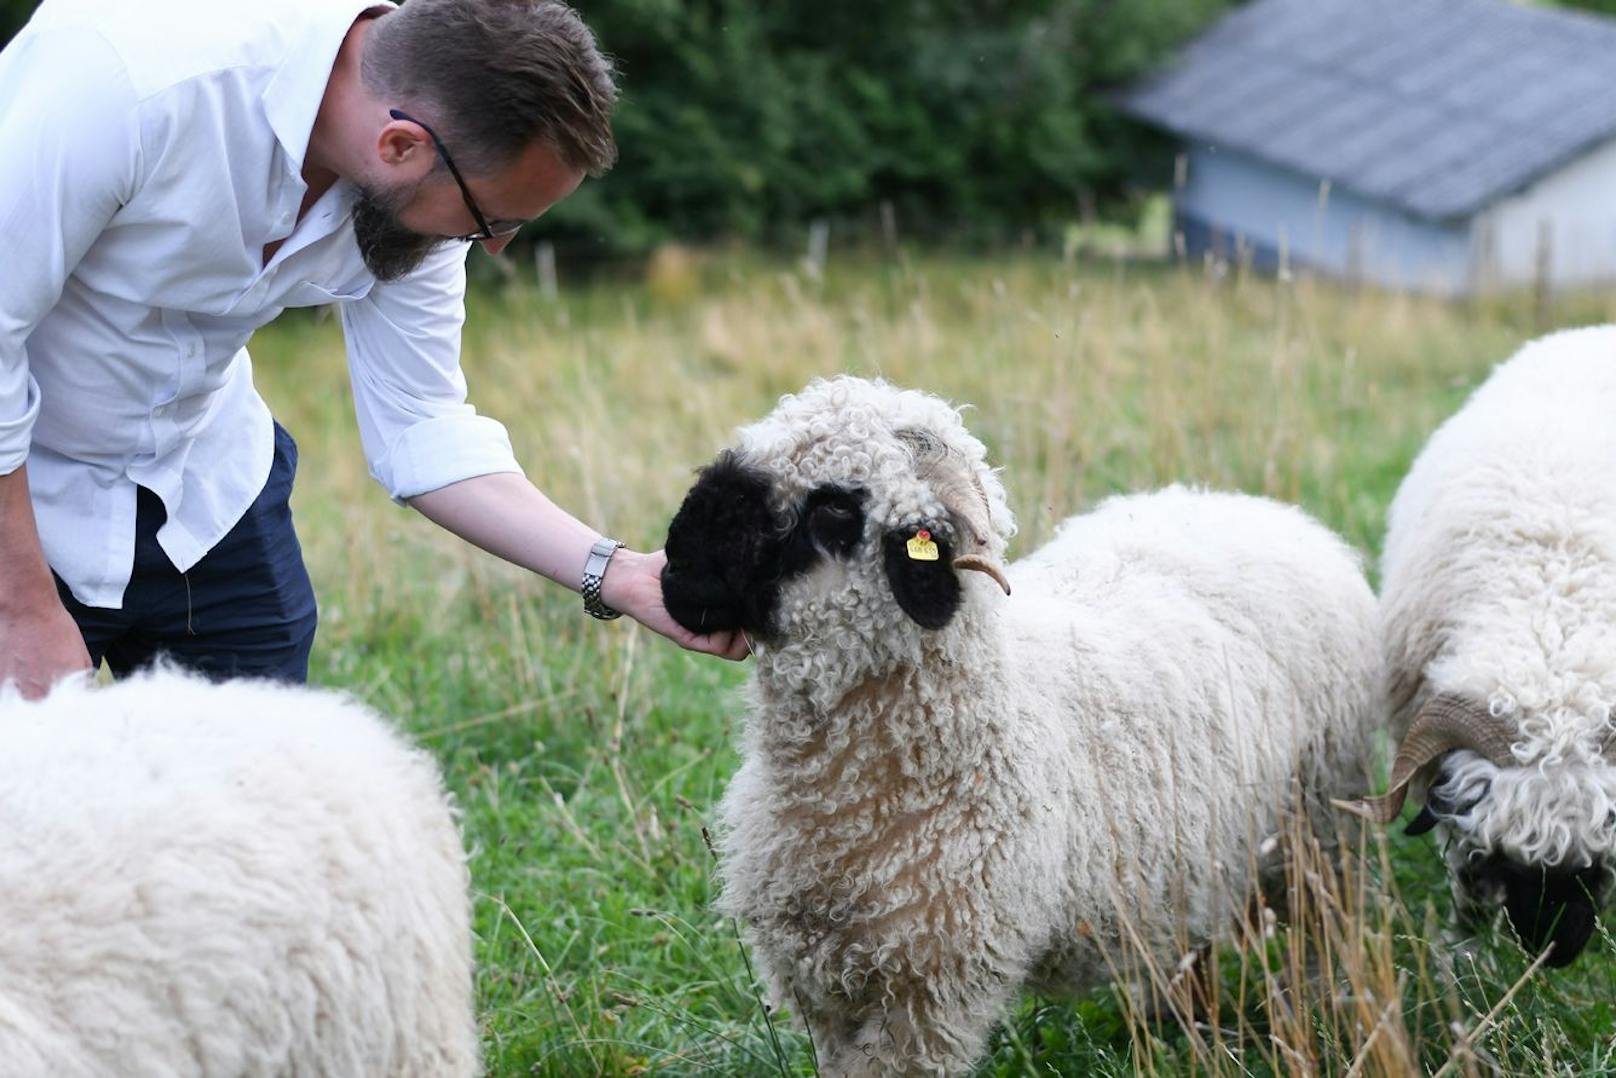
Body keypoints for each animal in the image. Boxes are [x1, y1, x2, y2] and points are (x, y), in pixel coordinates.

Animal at [656, 374, 1376, 1073]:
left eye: (834, 506)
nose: (676, 564)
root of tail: (1265, 511)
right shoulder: (824, 985)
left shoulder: (931, 993)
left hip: (1319, 833)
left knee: (1323, 934)